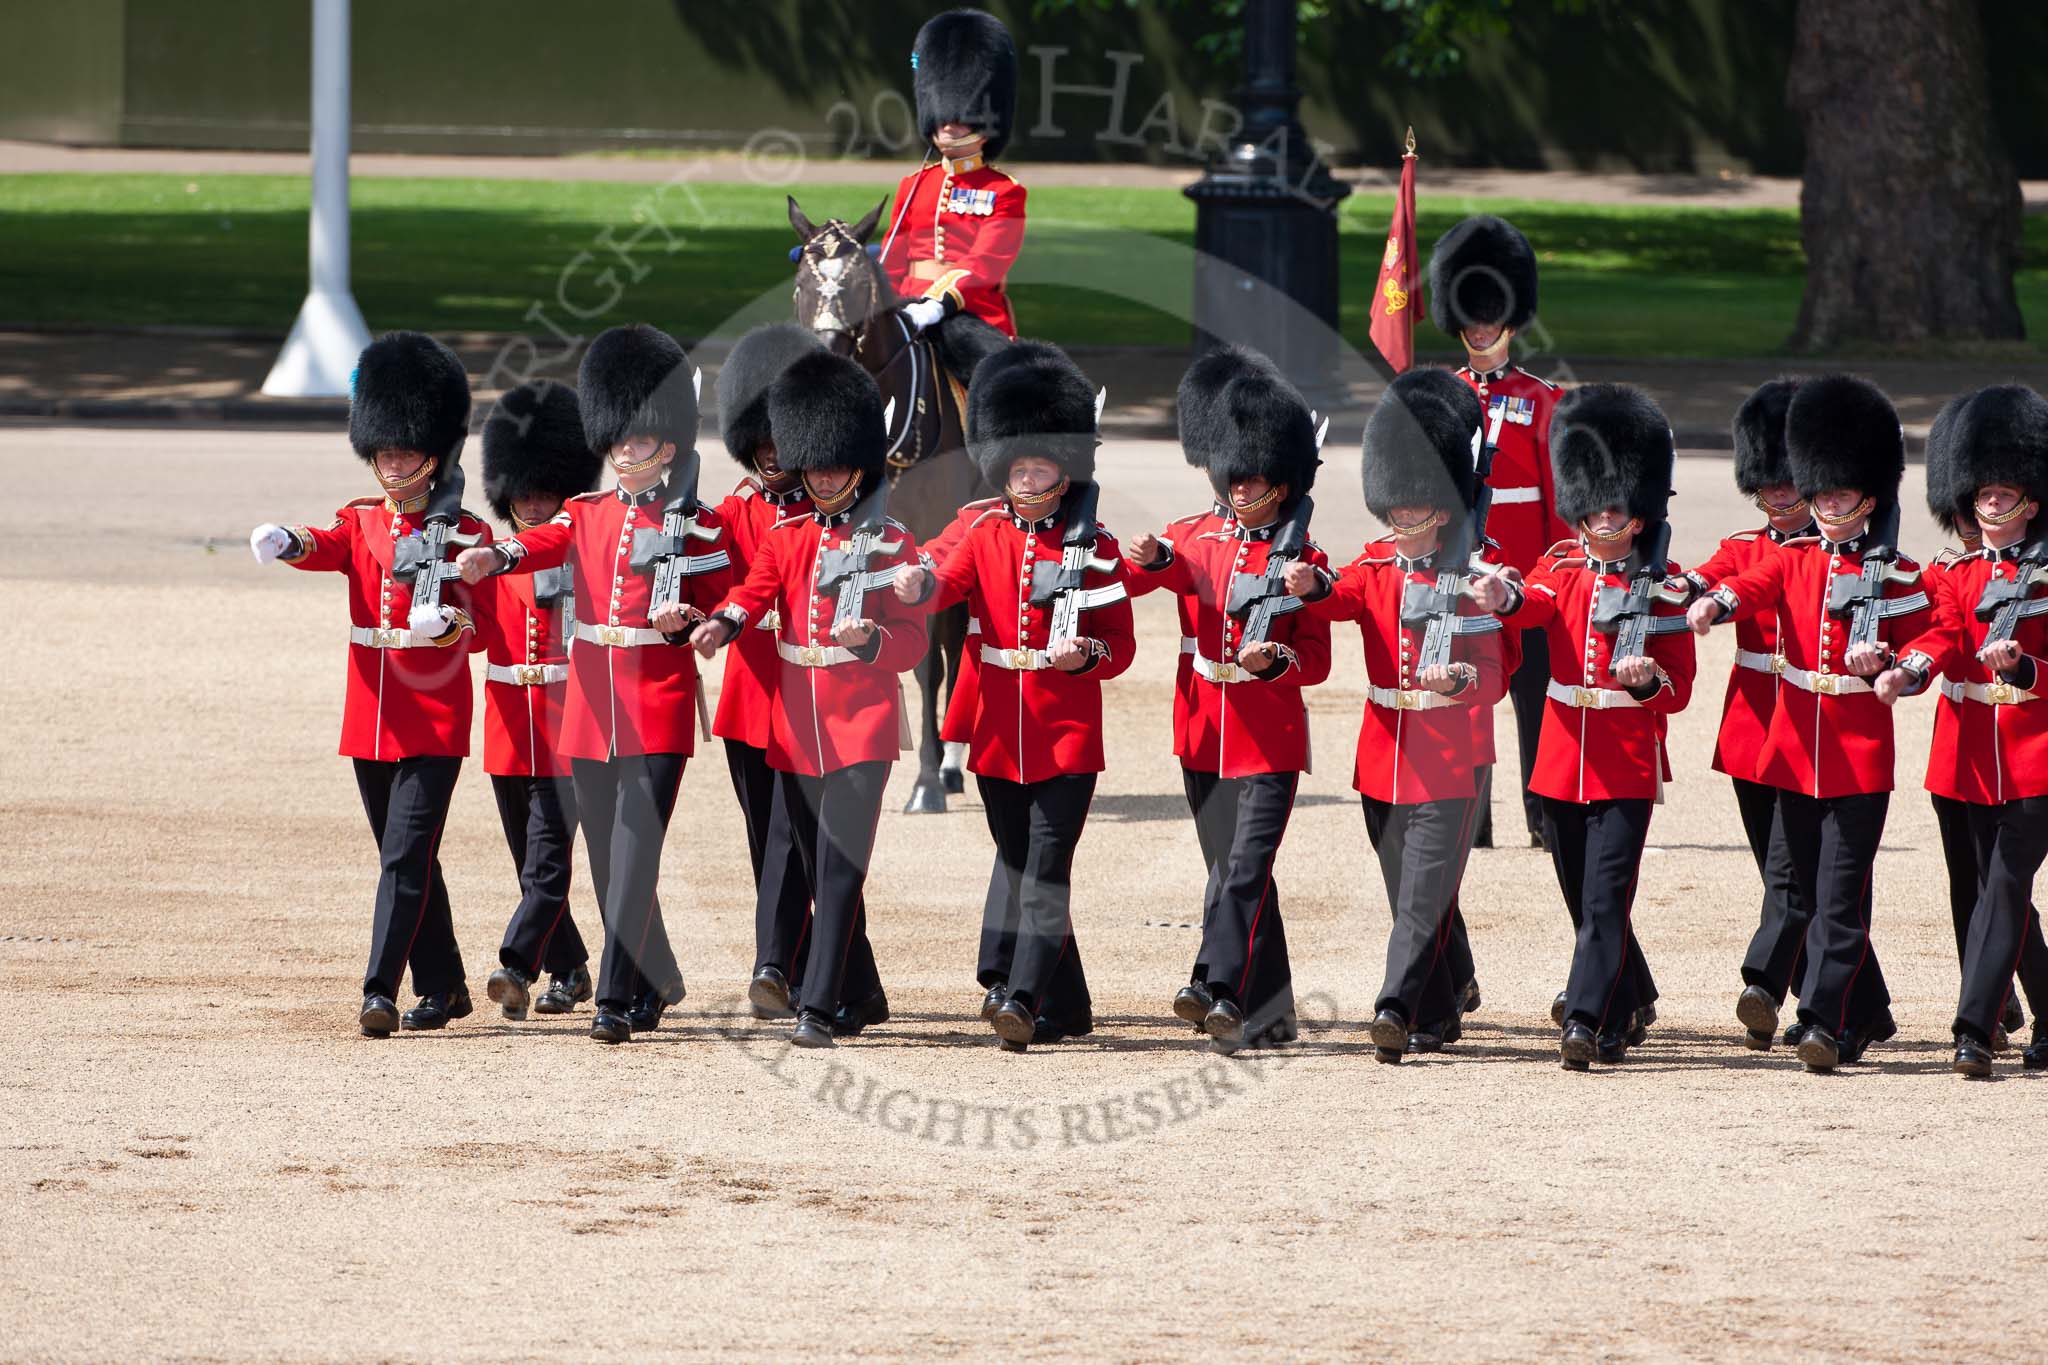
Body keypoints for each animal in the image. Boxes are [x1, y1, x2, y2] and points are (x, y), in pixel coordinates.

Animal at [786, 192, 995, 810]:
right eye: (803, 281)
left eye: (857, 283)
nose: (822, 358)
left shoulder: (924, 544)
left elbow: (925, 661)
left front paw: (925, 779)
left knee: (955, 645)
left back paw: (948, 765)